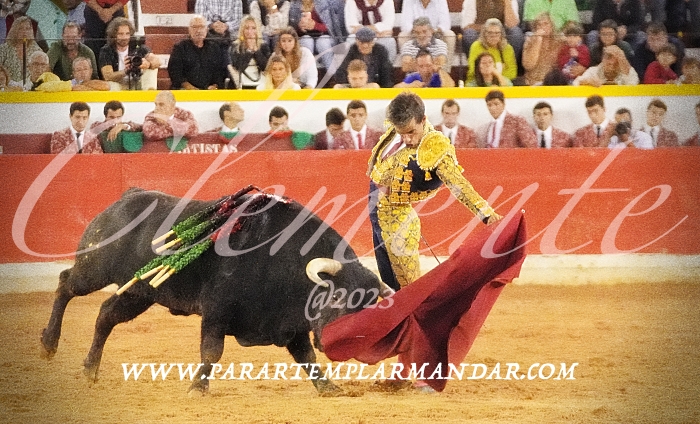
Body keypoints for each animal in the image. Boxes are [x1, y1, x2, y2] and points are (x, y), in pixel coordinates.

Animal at [40, 186, 390, 394]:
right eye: (338, 298)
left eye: (368, 312)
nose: (342, 345)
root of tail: (127, 197)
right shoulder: (217, 310)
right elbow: (211, 351)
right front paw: (198, 388)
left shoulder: (291, 323)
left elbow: (306, 357)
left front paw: (328, 387)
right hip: (94, 271)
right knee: (66, 284)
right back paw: (48, 343)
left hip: (138, 292)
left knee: (105, 316)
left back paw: (90, 369)